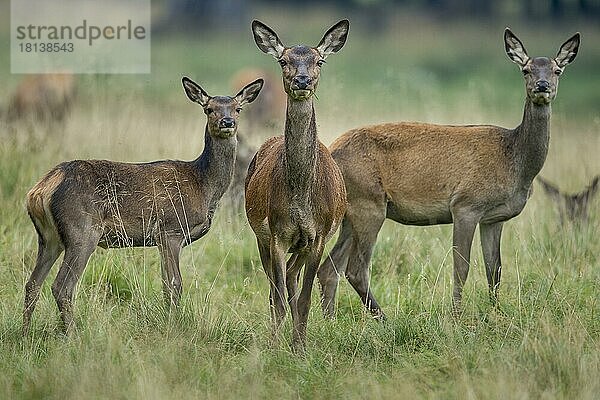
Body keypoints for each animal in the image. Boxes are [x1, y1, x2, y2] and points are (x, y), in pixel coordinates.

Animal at [23, 76, 262, 332]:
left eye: (238, 109)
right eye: (209, 109)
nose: (227, 122)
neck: (204, 186)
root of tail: (40, 189)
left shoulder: (160, 239)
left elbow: (166, 284)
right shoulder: (170, 230)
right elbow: (174, 285)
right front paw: (173, 325)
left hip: (49, 238)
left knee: (32, 284)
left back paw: (25, 332)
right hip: (82, 230)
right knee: (62, 286)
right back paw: (72, 333)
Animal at [246, 20, 350, 348]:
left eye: (319, 61)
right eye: (283, 60)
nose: (302, 80)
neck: (301, 200)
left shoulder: (318, 235)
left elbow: (304, 298)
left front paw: (300, 347)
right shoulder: (277, 233)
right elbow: (278, 296)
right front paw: (275, 345)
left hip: (302, 245)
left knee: (292, 278)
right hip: (261, 236)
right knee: (276, 287)